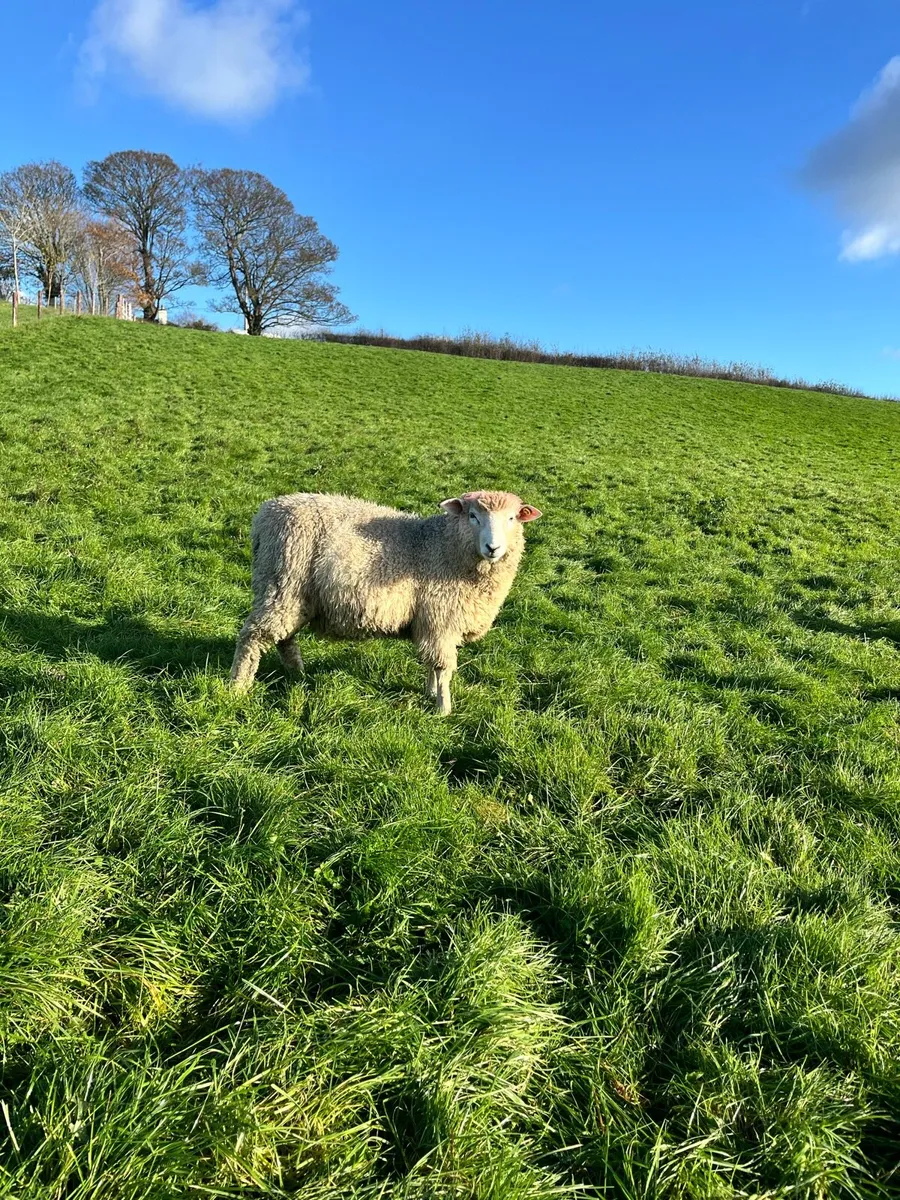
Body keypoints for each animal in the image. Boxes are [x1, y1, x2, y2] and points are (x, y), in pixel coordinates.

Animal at [229, 489, 543, 714]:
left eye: (512, 518)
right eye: (473, 516)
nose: (493, 547)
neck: (444, 545)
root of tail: (266, 514)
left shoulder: (430, 621)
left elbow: (431, 664)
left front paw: (430, 693)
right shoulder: (440, 618)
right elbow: (443, 668)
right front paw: (443, 709)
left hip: (292, 593)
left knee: (284, 638)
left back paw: (297, 674)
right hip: (281, 582)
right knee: (253, 637)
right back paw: (237, 687)